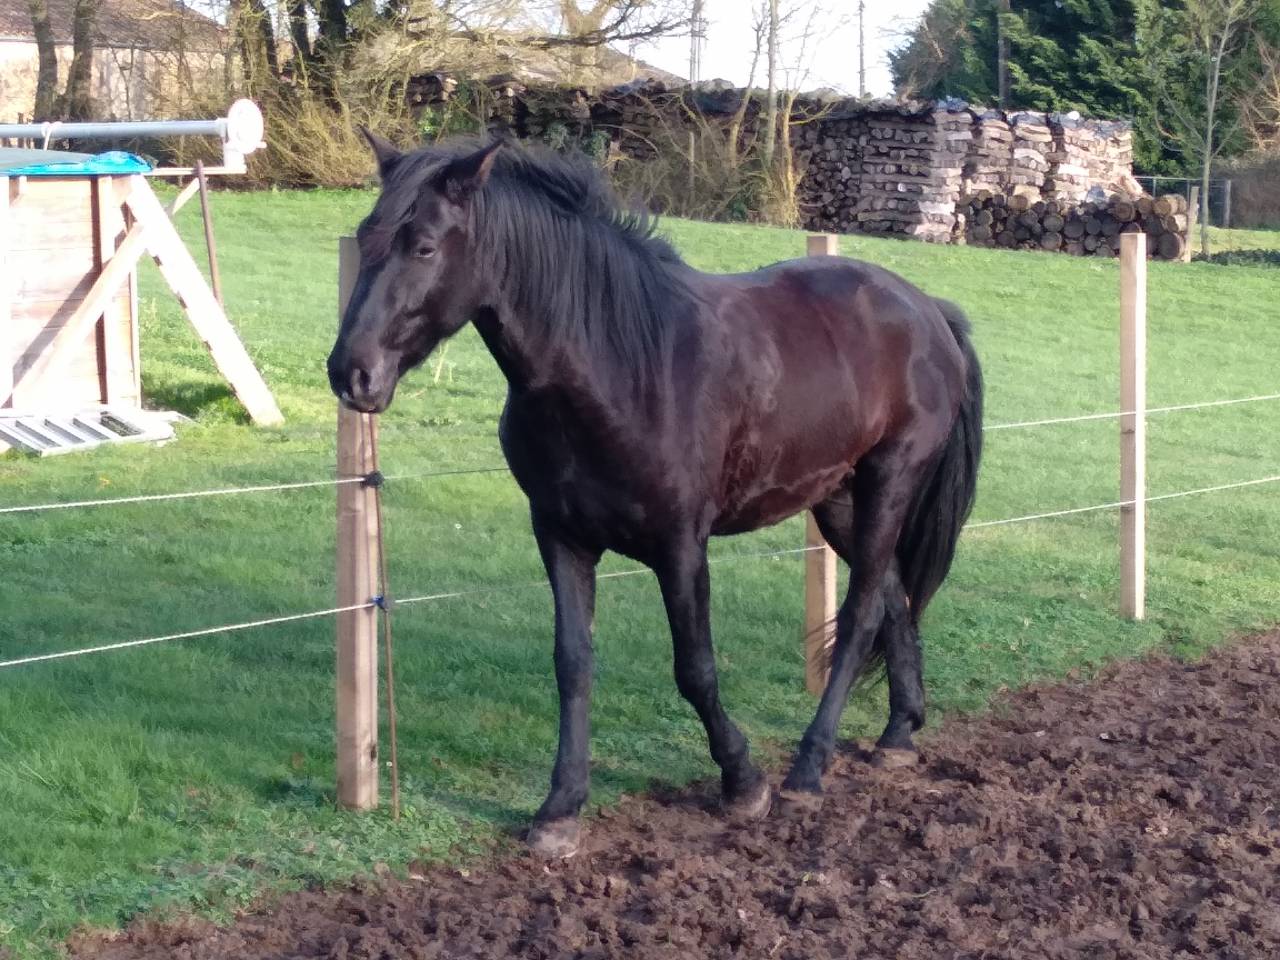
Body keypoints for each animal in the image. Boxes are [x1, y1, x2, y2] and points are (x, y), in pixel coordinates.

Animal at [328, 134, 983, 858]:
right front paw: (560, 809)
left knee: (864, 610)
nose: (351, 373)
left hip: (890, 481)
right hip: (837, 499)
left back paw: (808, 769)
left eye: (423, 247)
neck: (618, 367)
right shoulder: (560, 536)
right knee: (893, 597)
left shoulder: (680, 547)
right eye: (367, 235)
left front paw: (742, 781)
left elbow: (694, 669)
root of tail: (929, 310)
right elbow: (572, 663)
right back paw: (898, 734)